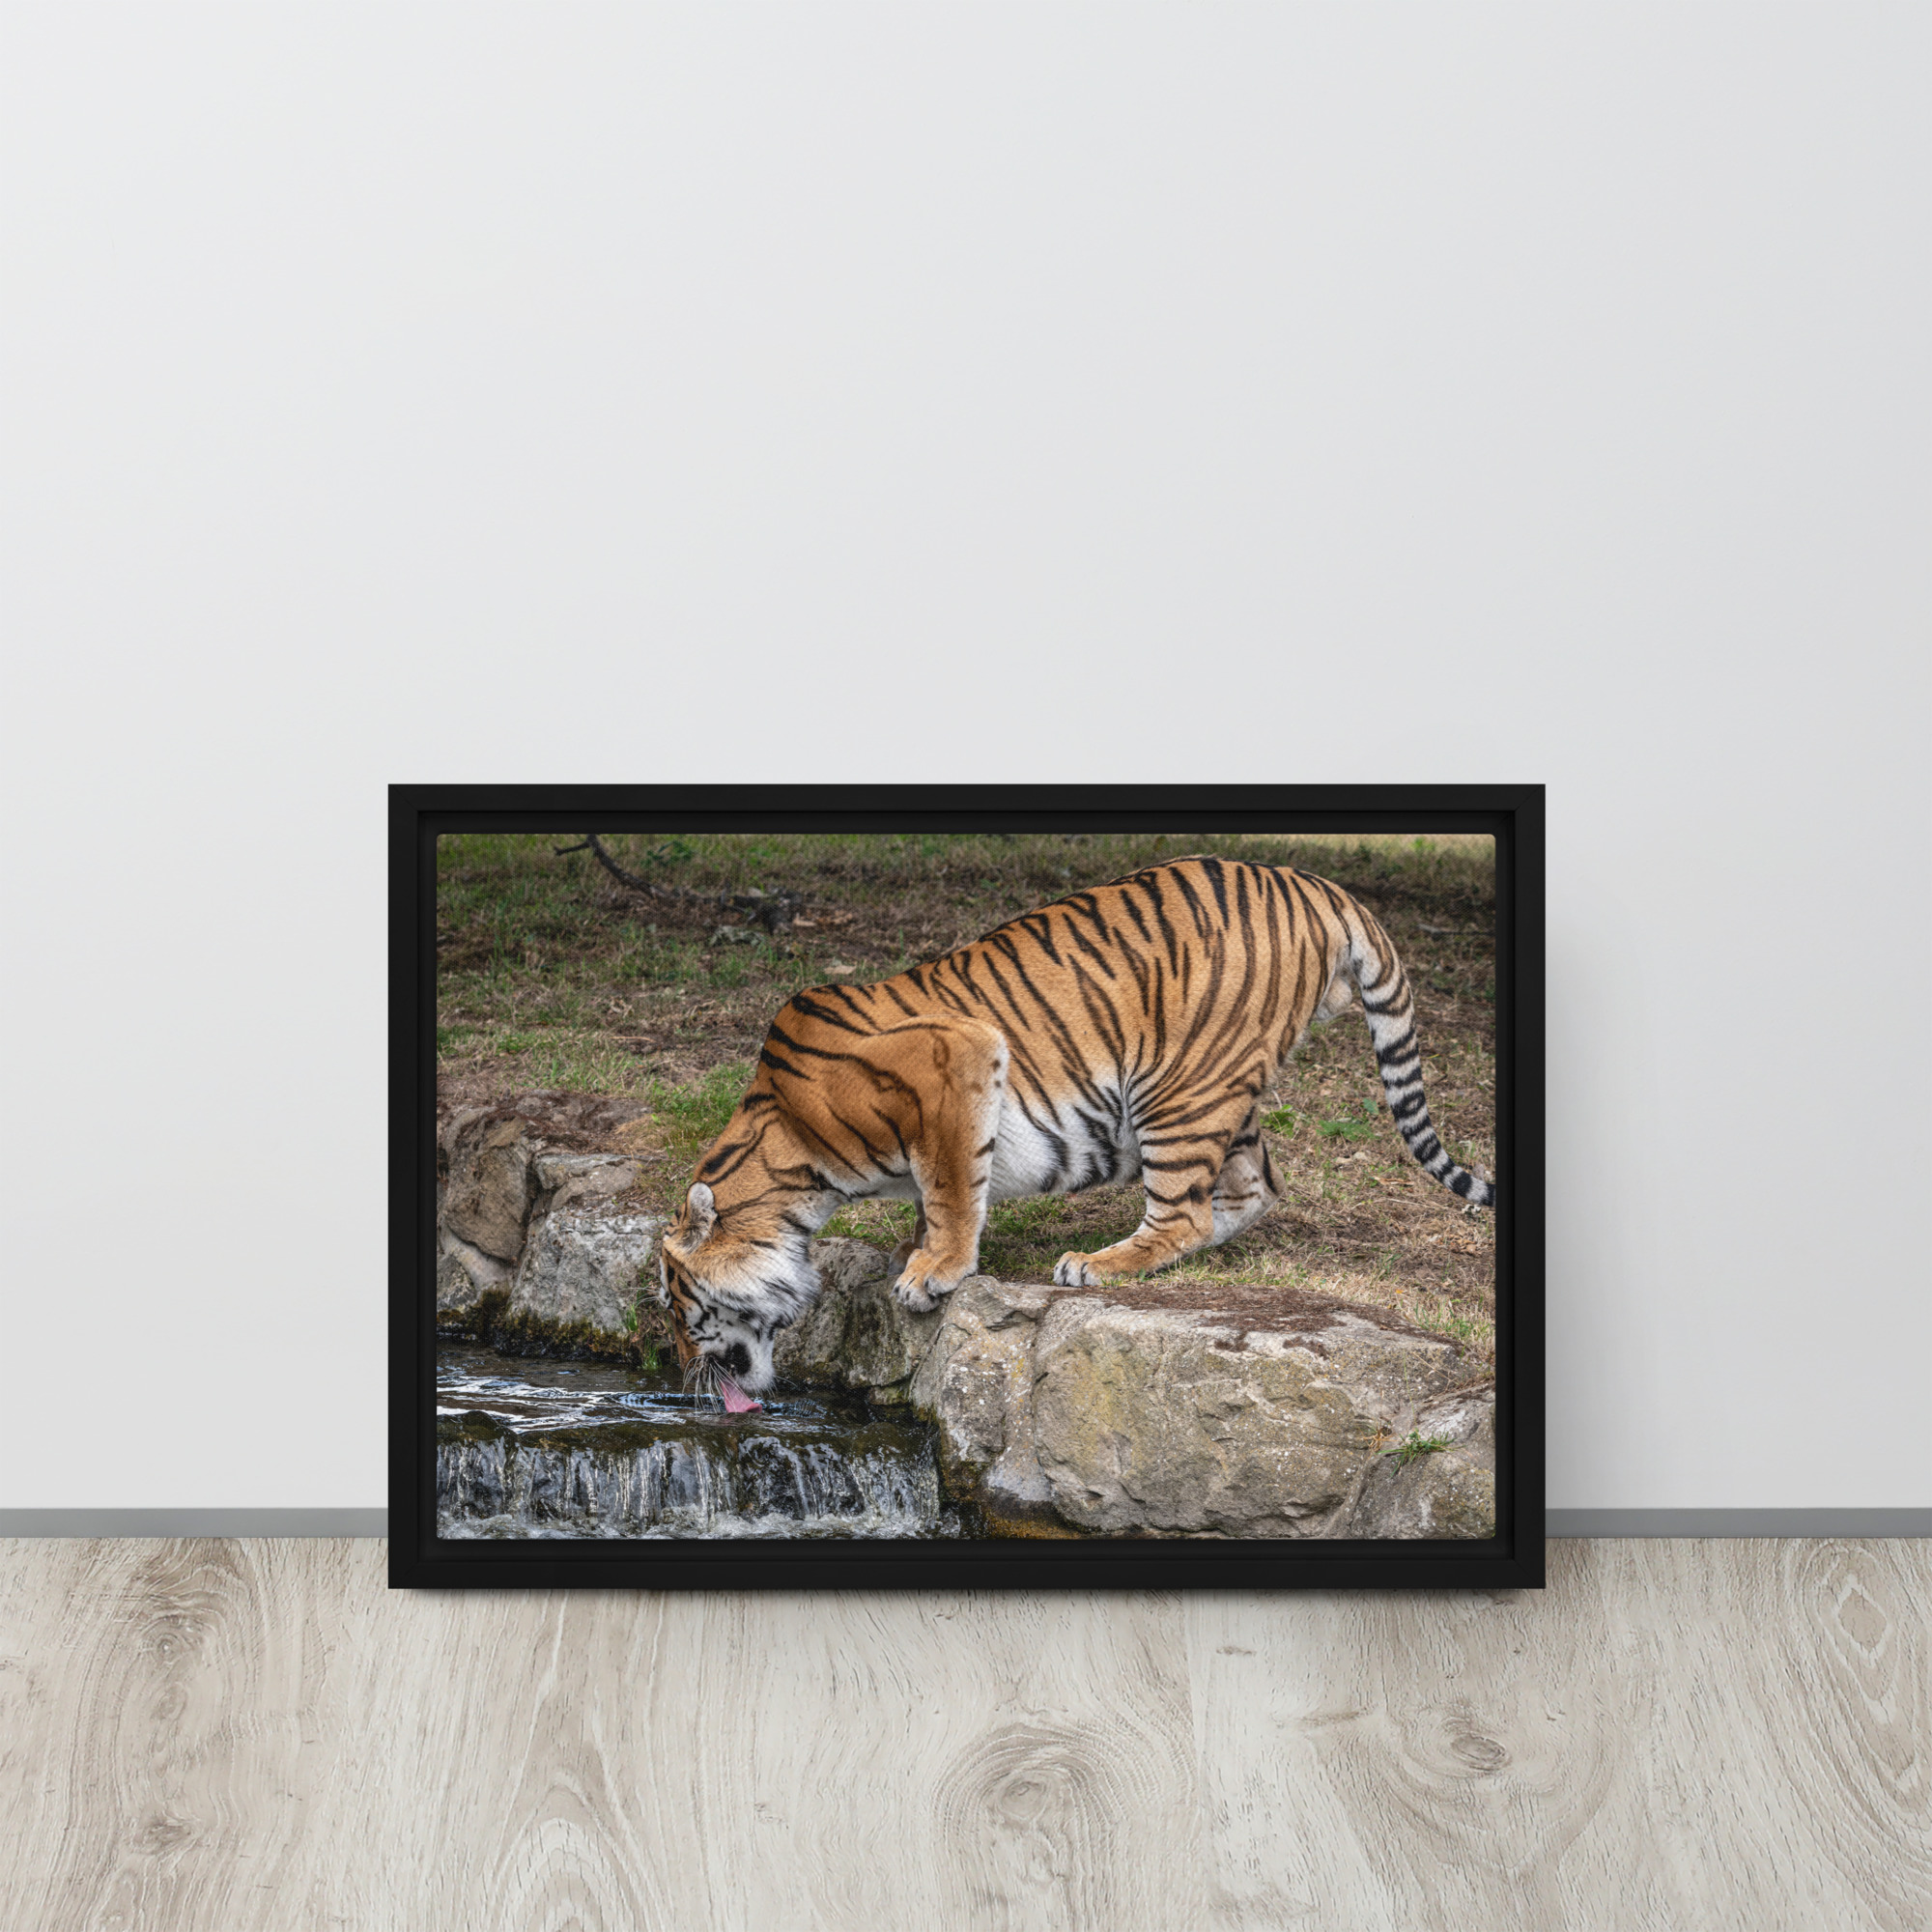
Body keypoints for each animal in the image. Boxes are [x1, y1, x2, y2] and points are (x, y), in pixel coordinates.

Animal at [656, 855, 1494, 1409]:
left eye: (675, 1304)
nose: (682, 1373)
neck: (791, 1159)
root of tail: (1314, 883)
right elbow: (935, 1194)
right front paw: (914, 1252)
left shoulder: (958, 1057)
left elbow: (952, 1187)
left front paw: (934, 1272)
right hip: (1223, 1088)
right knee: (1253, 1188)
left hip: (1175, 1086)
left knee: (1183, 1213)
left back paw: (1096, 1263)